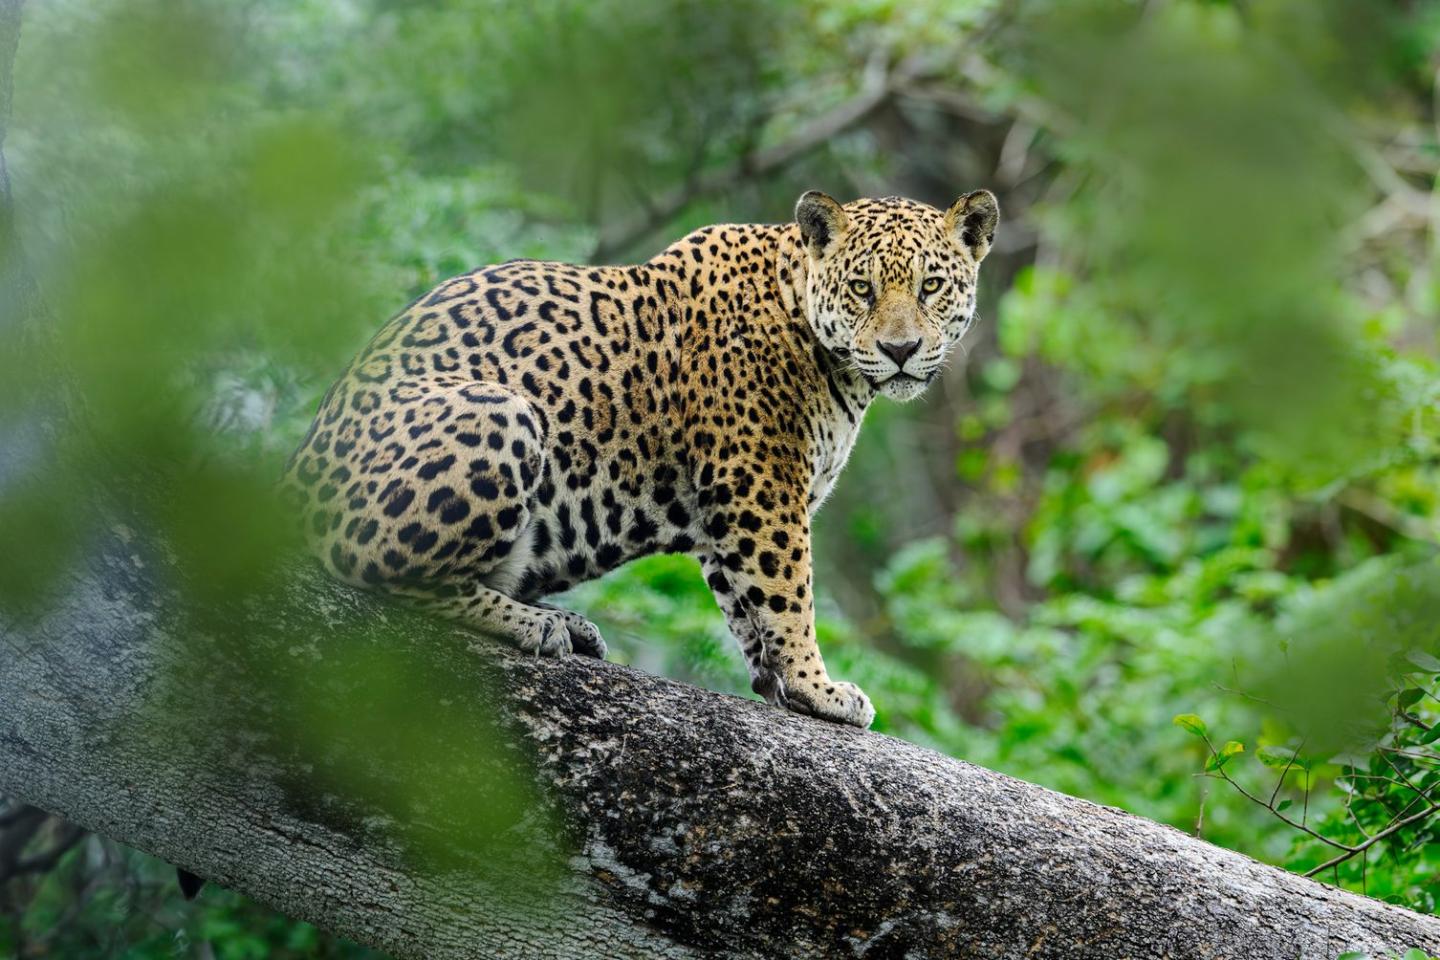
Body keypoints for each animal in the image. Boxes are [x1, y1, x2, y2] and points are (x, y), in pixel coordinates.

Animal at [283, 189, 999, 728]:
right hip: (503, 413)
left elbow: (745, 601)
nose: (902, 349)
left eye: (932, 286)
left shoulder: (727, 503)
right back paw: (542, 627)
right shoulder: (760, 484)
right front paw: (818, 688)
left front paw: (780, 686)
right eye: (861, 288)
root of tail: (288, 481)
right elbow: (787, 591)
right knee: (383, 575)